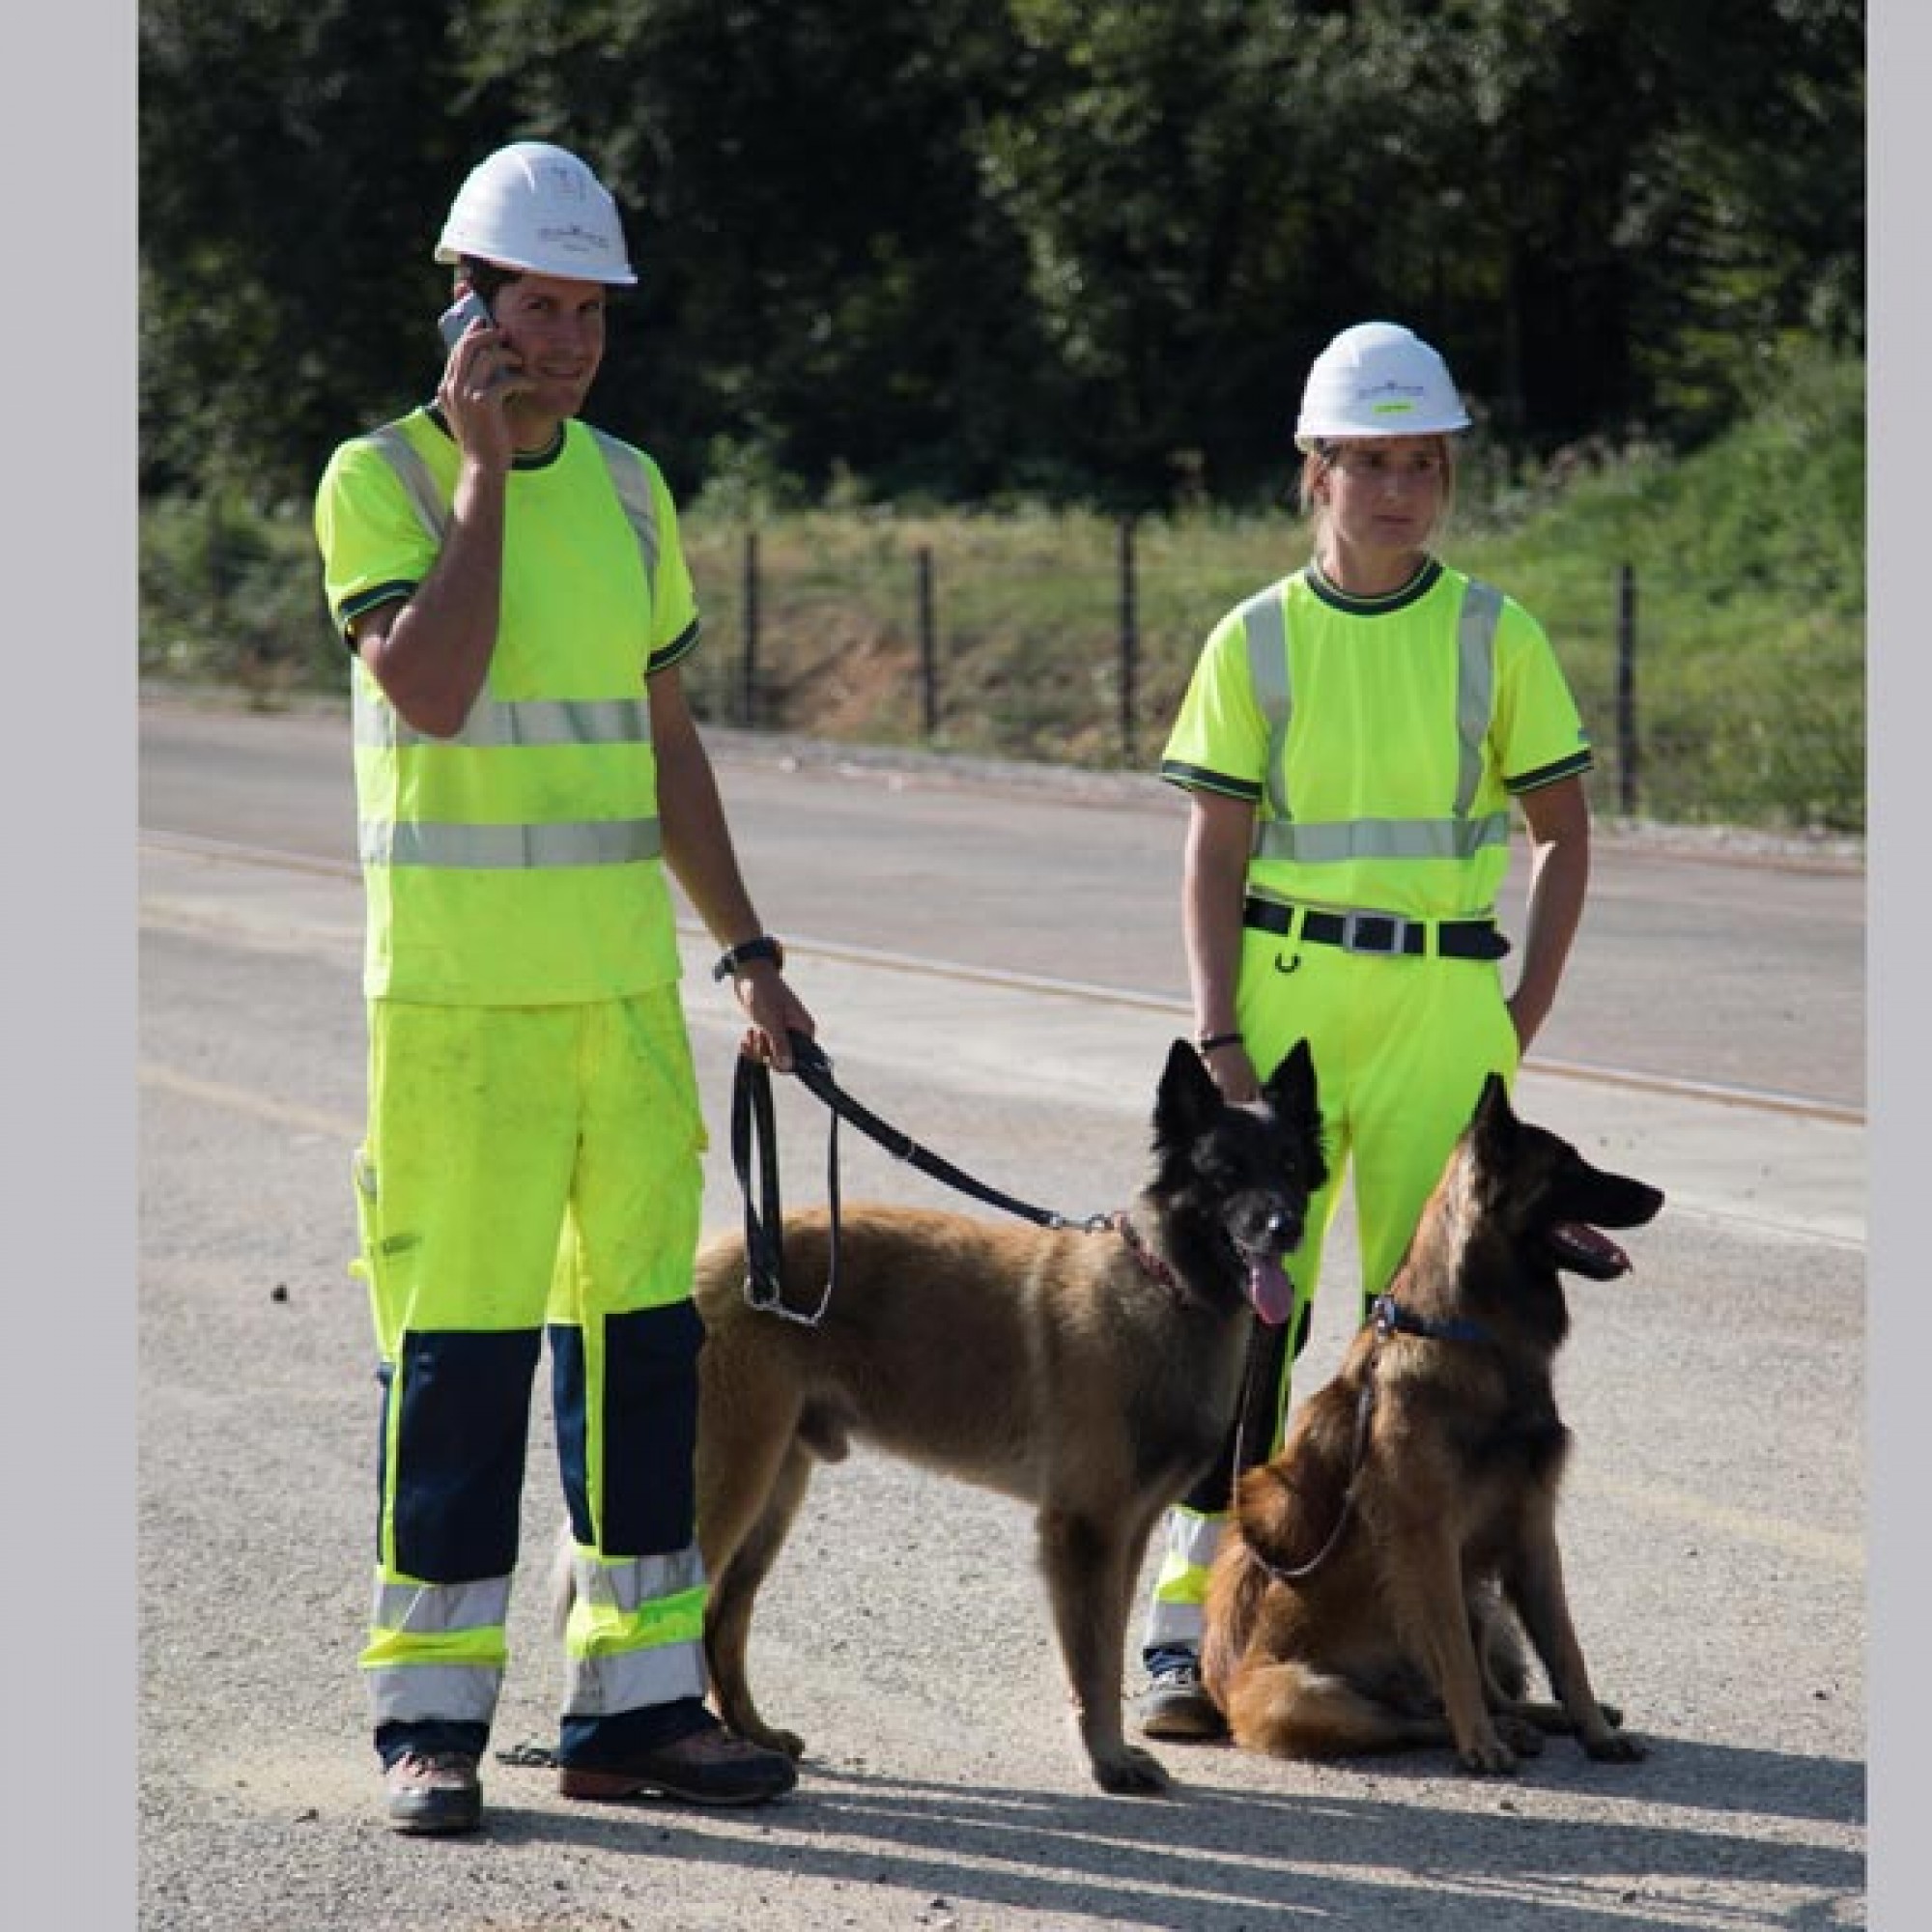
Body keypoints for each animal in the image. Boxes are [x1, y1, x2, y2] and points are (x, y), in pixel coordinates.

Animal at [684, 1043, 1329, 1793]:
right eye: (1226, 1172)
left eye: (1289, 1167)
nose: (1286, 1227)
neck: (1163, 1285)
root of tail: (720, 1254)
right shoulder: (1085, 1532)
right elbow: (1094, 1664)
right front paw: (1107, 1761)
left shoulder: (1124, 1534)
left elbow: (1108, 1649)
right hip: (732, 1483)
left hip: (773, 1489)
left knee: (721, 1618)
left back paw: (752, 1732)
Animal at [1198, 1082, 1654, 1770]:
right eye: (1570, 1169)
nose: (1658, 1196)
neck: (1476, 1335)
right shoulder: (1429, 1540)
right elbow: (1456, 1655)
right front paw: (1483, 1745)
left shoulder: (1532, 1529)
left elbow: (1566, 1649)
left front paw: (1593, 1731)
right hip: (1306, 1697)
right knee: (1406, 1720)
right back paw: (1491, 1731)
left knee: (1474, 1688)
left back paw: (1531, 1718)